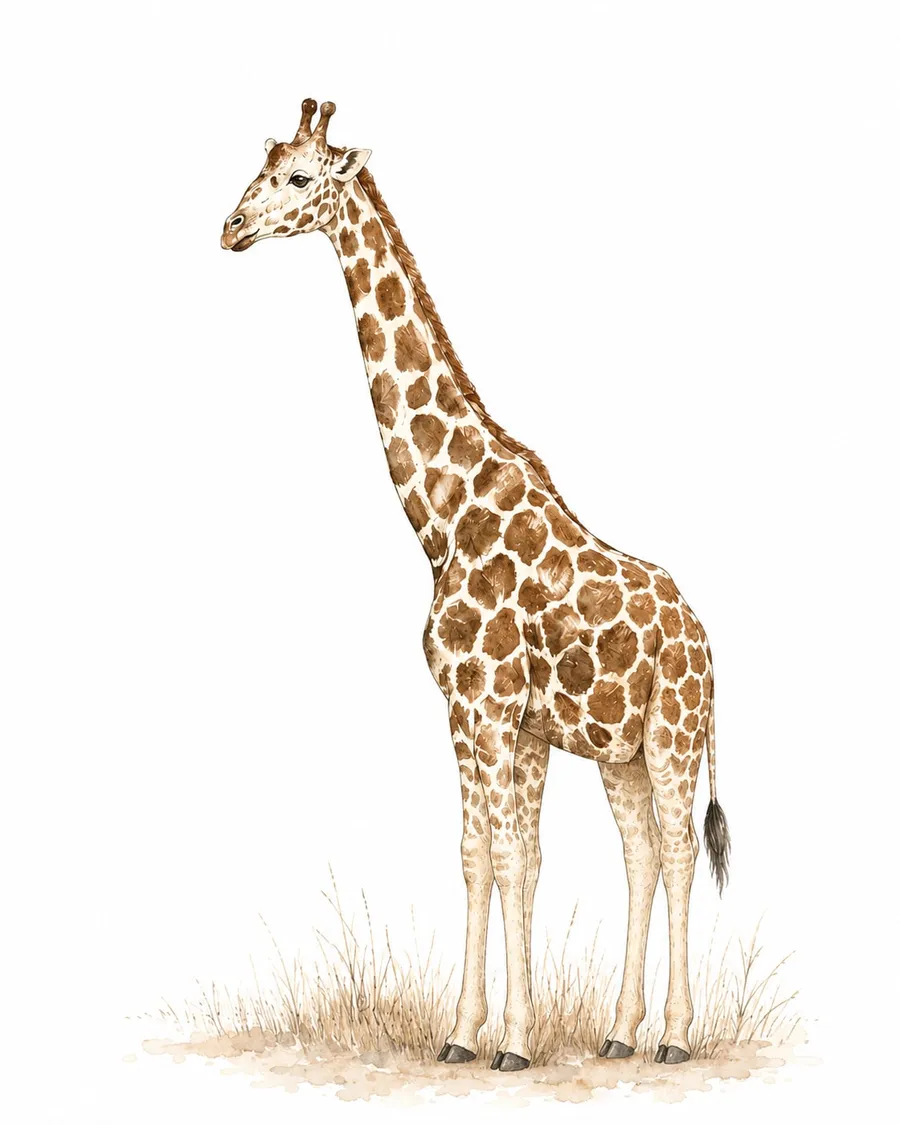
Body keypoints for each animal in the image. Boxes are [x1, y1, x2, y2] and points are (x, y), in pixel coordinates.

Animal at [221, 99, 731, 1071]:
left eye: (298, 178)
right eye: (257, 168)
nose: (230, 227)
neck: (442, 517)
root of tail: (706, 641)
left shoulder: (487, 706)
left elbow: (500, 857)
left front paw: (508, 1041)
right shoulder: (494, 718)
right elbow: (492, 856)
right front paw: (475, 1034)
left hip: (674, 735)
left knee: (684, 849)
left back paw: (676, 1037)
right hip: (621, 752)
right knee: (643, 853)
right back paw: (621, 1030)